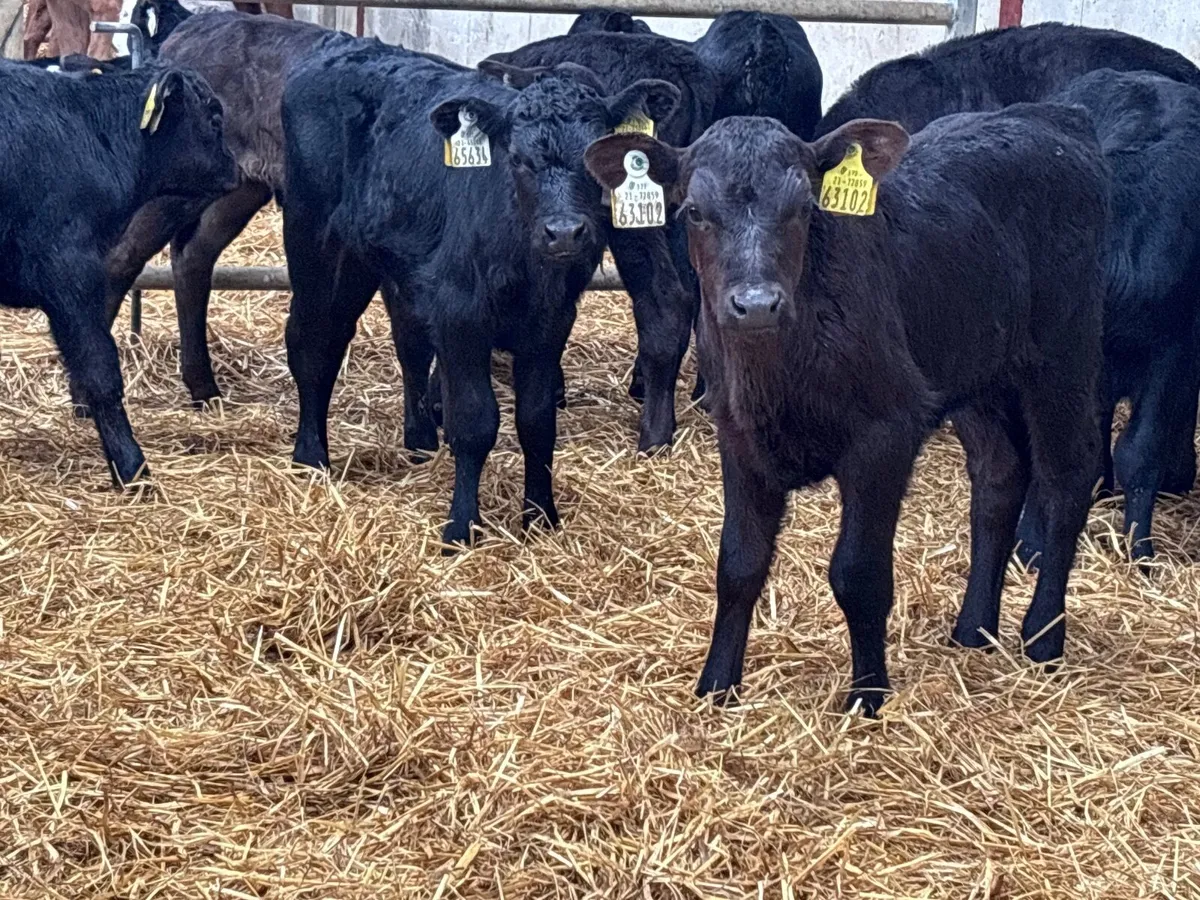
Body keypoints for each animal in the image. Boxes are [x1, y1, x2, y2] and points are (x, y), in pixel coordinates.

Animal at [282, 35, 679, 549]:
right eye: (518, 160)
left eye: (593, 160)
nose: (564, 233)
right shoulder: (461, 314)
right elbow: (474, 422)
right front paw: (462, 526)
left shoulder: (550, 324)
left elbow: (537, 422)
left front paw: (540, 516)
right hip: (316, 244)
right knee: (314, 343)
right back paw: (311, 456)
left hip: (381, 261)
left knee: (405, 343)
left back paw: (419, 442)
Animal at [585, 107, 1109, 715]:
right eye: (694, 211)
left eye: (805, 208)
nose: (756, 304)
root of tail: (1050, 119)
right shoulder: (738, 434)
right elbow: (738, 563)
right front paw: (717, 686)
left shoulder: (886, 433)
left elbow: (858, 573)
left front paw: (868, 695)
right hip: (978, 374)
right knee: (999, 478)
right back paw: (973, 629)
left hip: (1063, 356)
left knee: (1067, 477)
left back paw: (1043, 636)